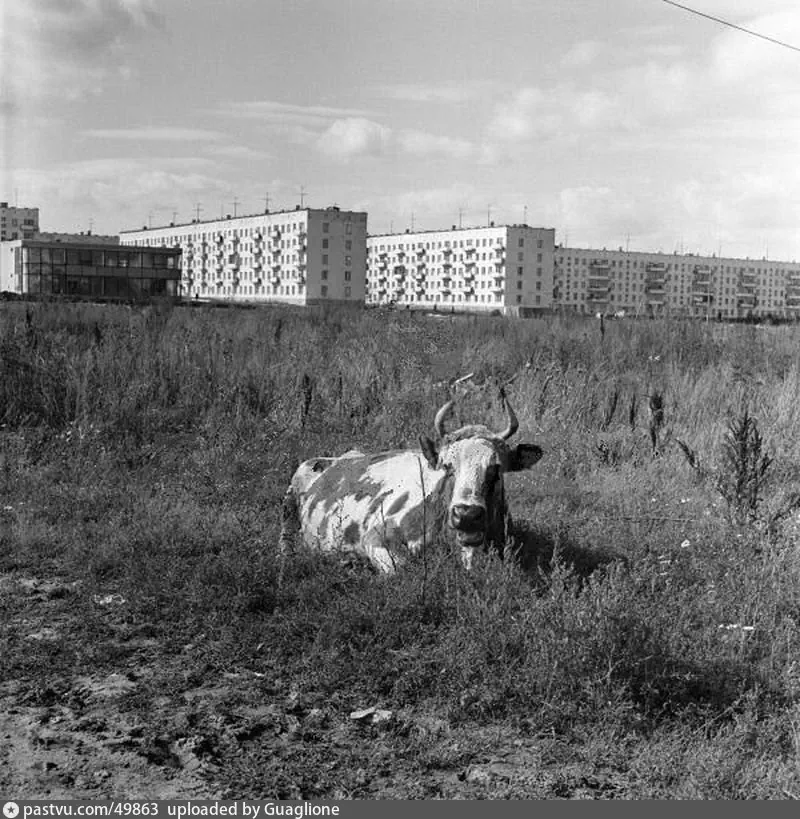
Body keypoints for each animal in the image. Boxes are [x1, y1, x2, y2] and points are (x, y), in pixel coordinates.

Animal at [280, 390, 544, 572]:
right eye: (447, 467)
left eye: (496, 469)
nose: (467, 514)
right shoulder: (376, 537)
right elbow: (402, 569)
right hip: (288, 507)